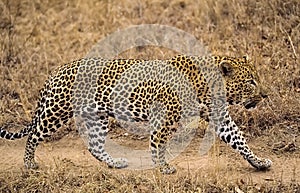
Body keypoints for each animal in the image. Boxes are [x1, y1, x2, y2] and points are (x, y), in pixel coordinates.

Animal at [0, 54, 272, 173]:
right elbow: (158, 143)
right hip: (56, 110)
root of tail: (58, 70)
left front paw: (259, 162)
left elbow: (240, 140)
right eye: (250, 82)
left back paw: (116, 163)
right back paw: (29, 164)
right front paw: (163, 167)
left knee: (94, 146)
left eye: (257, 79)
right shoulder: (163, 117)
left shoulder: (220, 118)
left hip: (97, 117)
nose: (266, 94)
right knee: (33, 135)